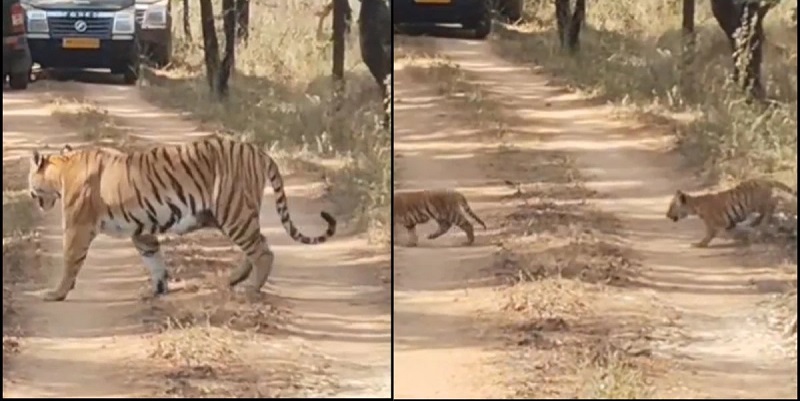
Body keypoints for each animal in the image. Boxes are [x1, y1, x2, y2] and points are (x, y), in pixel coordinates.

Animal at [28, 135, 336, 302]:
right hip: (229, 214)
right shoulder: (141, 231)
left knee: (263, 251)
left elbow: (70, 260)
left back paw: (250, 288)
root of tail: (257, 150)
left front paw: (56, 293)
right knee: (259, 243)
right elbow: (153, 259)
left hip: (233, 212)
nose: (31, 195)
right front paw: (158, 290)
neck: (62, 168)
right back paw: (233, 279)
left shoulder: (77, 227)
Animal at [666, 178, 796, 248]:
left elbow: (708, 235)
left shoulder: (713, 225)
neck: (695, 206)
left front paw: (700, 244)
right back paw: (756, 223)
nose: (666, 215)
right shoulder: (728, 223)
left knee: (772, 205)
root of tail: (765, 179)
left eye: (671, 207)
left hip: (758, 203)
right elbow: (734, 231)